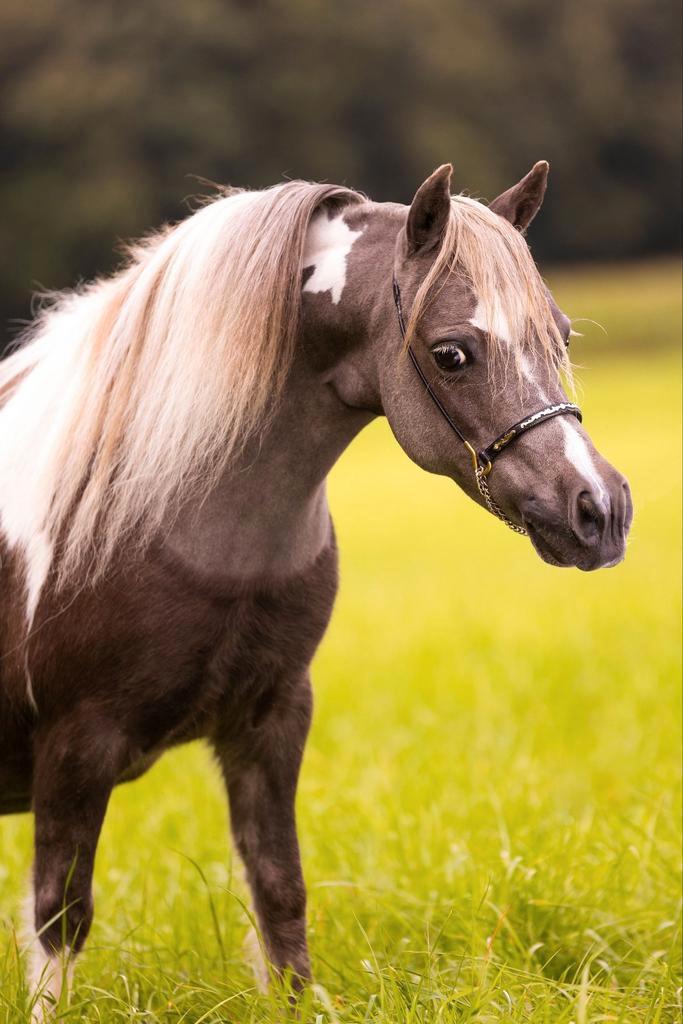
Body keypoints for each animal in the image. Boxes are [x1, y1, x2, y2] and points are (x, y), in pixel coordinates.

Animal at [0, 161, 632, 1013]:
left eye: (558, 335)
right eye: (451, 353)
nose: (599, 509)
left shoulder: (270, 723)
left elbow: (280, 897)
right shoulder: (76, 747)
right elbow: (58, 921)